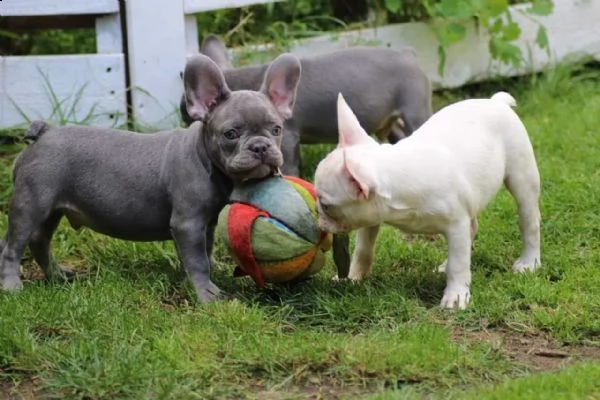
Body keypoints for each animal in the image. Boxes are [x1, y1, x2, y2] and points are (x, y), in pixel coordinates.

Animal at [0, 54, 300, 304]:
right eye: (231, 134)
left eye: (276, 129)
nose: (260, 147)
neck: (204, 157)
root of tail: (45, 132)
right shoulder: (188, 223)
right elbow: (198, 260)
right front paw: (206, 293)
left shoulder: (205, 224)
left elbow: (204, 252)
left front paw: (199, 277)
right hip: (31, 204)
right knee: (14, 246)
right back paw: (12, 285)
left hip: (51, 210)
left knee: (38, 241)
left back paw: (58, 276)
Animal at [180, 35, 434, 176]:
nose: (183, 118)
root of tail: (408, 55)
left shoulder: (288, 137)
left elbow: (289, 164)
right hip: (388, 120)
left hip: (415, 110)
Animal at [316, 91, 540, 310]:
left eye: (326, 206)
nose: (317, 216)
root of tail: (496, 101)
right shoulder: (371, 216)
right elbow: (363, 249)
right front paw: (353, 276)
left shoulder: (456, 225)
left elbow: (459, 264)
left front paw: (455, 295)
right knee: (472, 228)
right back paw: (444, 265)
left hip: (522, 177)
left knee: (529, 222)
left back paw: (529, 262)